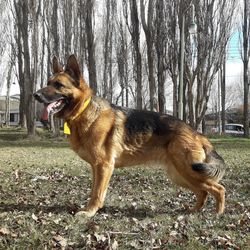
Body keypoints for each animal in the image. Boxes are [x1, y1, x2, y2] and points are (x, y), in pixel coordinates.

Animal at [33, 54, 227, 217]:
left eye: (58, 85)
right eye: (48, 82)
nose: (35, 95)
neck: (83, 111)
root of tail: (197, 134)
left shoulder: (104, 166)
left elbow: (97, 193)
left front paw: (89, 212)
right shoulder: (97, 168)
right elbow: (95, 191)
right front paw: (93, 209)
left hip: (188, 170)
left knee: (219, 189)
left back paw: (218, 214)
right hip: (179, 174)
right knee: (203, 192)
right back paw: (194, 211)